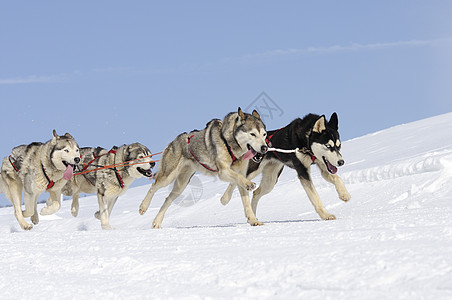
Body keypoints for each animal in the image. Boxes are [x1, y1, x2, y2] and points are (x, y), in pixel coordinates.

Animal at [139, 108, 268, 227]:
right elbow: (239, 178)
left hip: (181, 185)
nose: (265, 148)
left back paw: (157, 222)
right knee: (153, 186)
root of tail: (174, 140)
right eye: (252, 134)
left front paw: (253, 220)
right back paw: (143, 207)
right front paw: (249, 184)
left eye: (264, 134)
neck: (229, 142)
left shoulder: (240, 172)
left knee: (167, 199)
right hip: (168, 177)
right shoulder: (223, 171)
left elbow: (246, 201)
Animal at [221, 112, 352, 220]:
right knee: (236, 180)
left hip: (271, 180)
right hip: (253, 170)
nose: (341, 162)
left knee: (256, 192)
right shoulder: (303, 171)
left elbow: (337, 178)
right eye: (328, 146)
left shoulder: (324, 166)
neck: (306, 141)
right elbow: (315, 197)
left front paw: (344, 194)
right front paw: (325, 215)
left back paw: (252, 215)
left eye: (338, 146)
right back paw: (225, 198)